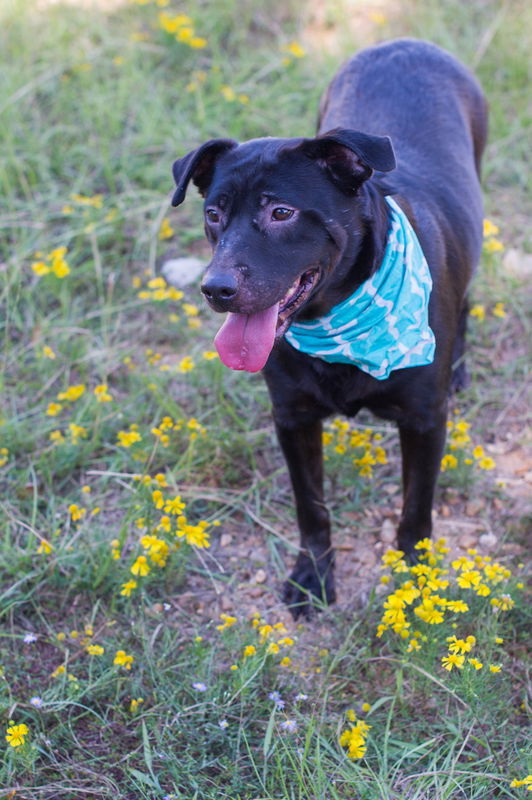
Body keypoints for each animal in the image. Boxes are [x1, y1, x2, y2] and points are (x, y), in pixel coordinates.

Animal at [170, 37, 486, 616]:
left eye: (281, 212)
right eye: (213, 214)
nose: (215, 288)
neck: (339, 320)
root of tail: (406, 42)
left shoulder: (425, 421)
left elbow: (416, 510)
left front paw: (414, 580)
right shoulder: (292, 418)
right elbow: (311, 506)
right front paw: (312, 575)